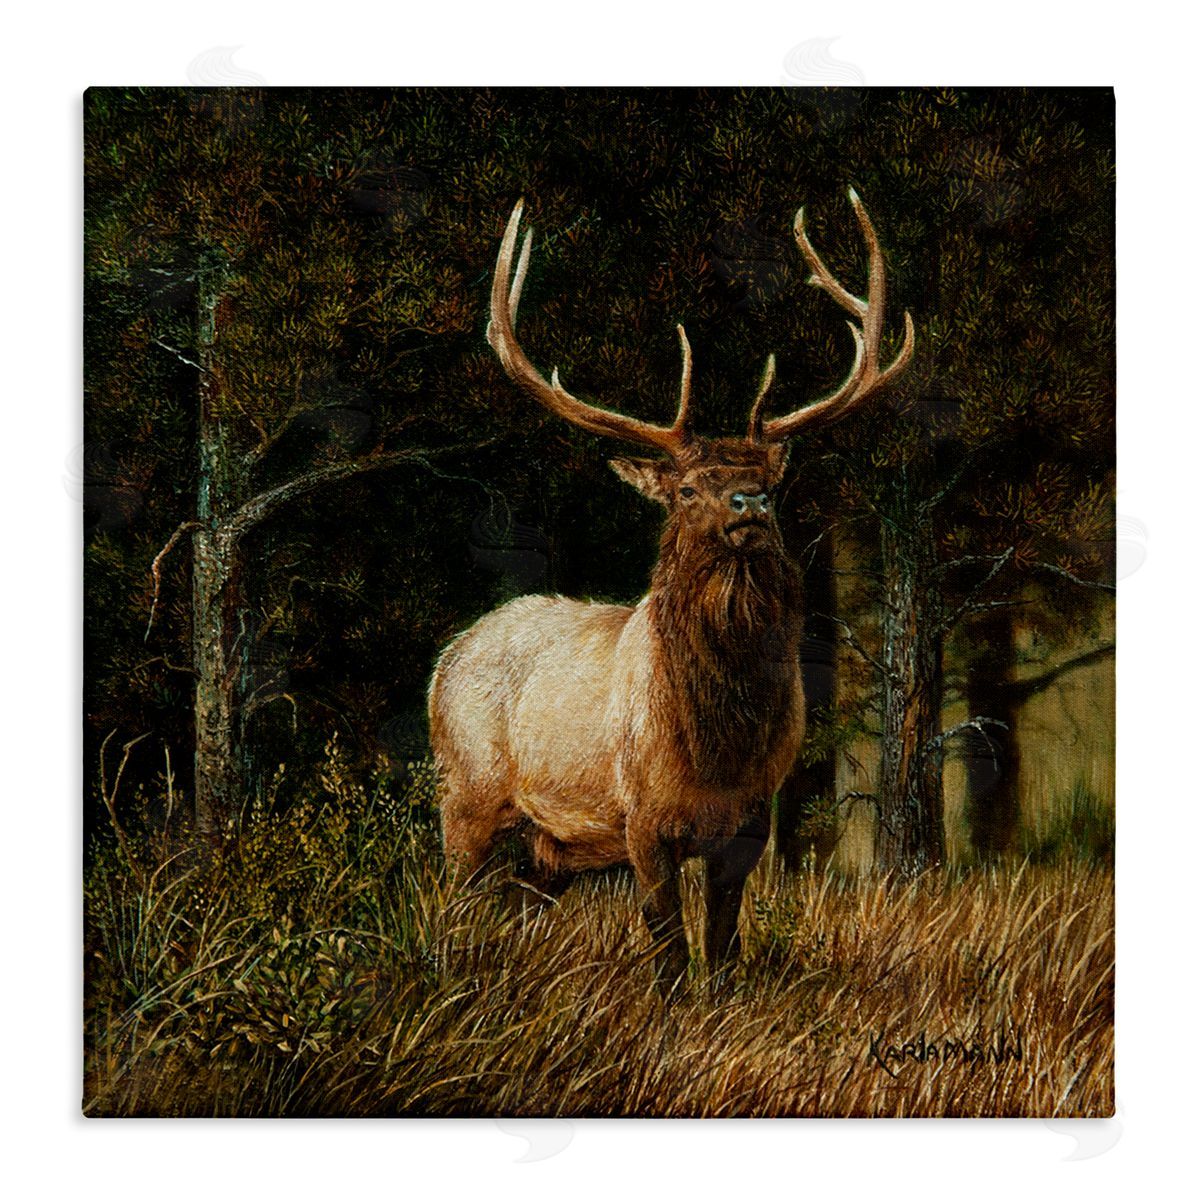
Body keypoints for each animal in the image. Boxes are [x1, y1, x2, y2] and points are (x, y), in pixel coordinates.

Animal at [429, 188, 913, 988]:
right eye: (687, 489)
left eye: (771, 482)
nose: (749, 503)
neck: (716, 745)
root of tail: (448, 656)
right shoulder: (642, 821)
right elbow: (668, 947)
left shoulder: (751, 822)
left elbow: (721, 945)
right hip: (464, 795)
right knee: (450, 898)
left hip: (548, 848)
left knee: (516, 906)